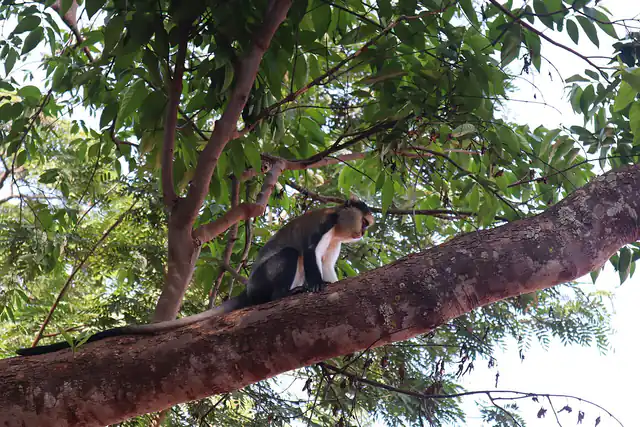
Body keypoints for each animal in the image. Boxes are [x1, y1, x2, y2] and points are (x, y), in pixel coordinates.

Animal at [15, 197, 374, 356]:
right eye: (365, 221)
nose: (363, 233)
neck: (338, 225)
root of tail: (248, 289)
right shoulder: (324, 227)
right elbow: (310, 252)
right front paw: (316, 285)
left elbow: (326, 263)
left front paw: (330, 282)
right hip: (263, 279)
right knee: (289, 256)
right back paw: (281, 295)